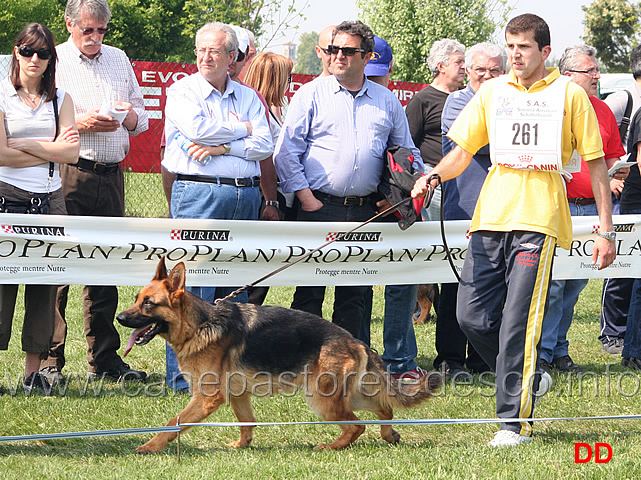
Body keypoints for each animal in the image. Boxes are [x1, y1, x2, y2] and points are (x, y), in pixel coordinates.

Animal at [116, 256, 440, 452]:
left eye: (148, 304)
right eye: (136, 299)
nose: (119, 318)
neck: (199, 325)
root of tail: (356, 341)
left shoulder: (207, 397)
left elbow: (174, 423)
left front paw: (151, 446)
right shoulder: (238, 395)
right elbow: (246, 422)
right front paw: (243, 446)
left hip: (322, 400)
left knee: (358, 424)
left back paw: (331, 446)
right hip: (346, 395)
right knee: (384, 408)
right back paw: (388, 435)